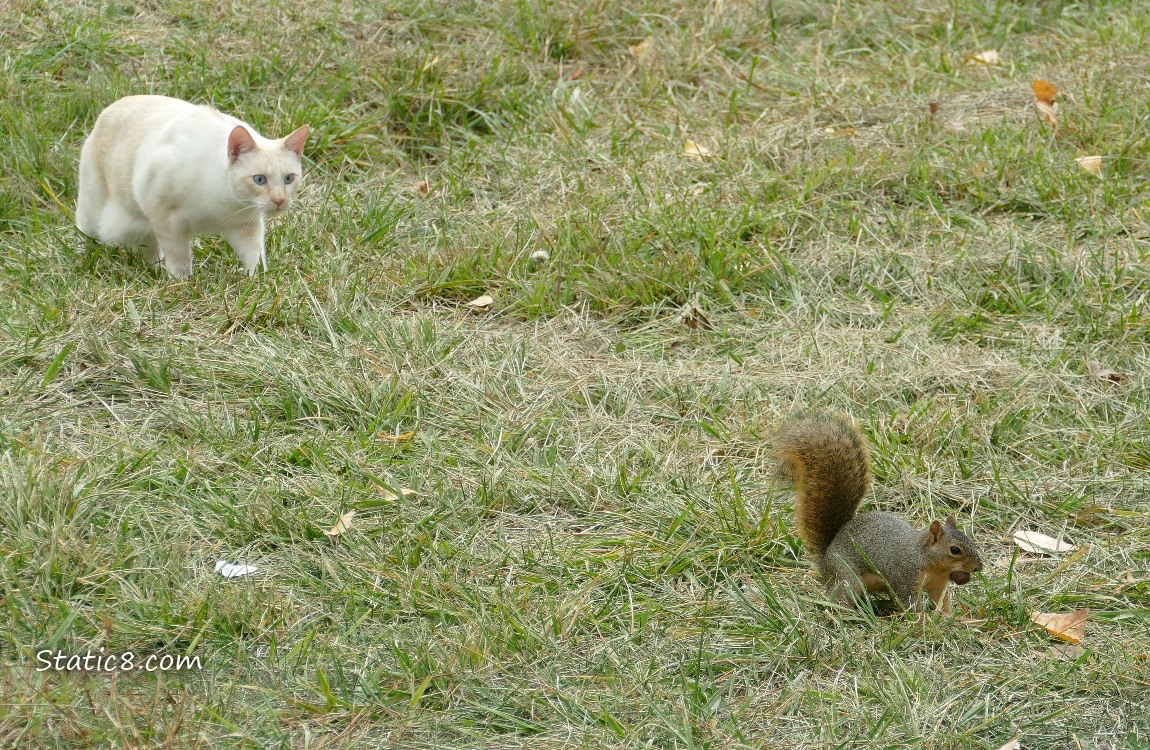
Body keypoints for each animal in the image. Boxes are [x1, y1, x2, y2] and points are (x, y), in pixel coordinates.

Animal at [75, 96, 310, 278]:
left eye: (288, 179)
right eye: (260, 180)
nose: (280, 201)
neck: (227, 202)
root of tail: (109, 108)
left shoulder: (243, 225)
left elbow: (255, 256)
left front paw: (258, 281)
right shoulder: (167, 220)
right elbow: (180, 260)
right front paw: (182, 283)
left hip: (142, 227)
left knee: (149, 247)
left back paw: (155, 270)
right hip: (96, 215)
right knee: (83, 230)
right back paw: (83, 258)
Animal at [772, 414, 979, 611]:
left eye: (971, 541)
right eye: (955, 550)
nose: (978, 567)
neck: (928, 560)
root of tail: (826, 560)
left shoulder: (938, 583)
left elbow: (942, 603)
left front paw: (948, 618)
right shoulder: (905, 578)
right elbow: (910, 604)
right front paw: (922, 621)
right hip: (847, 576)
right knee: (841, 597)